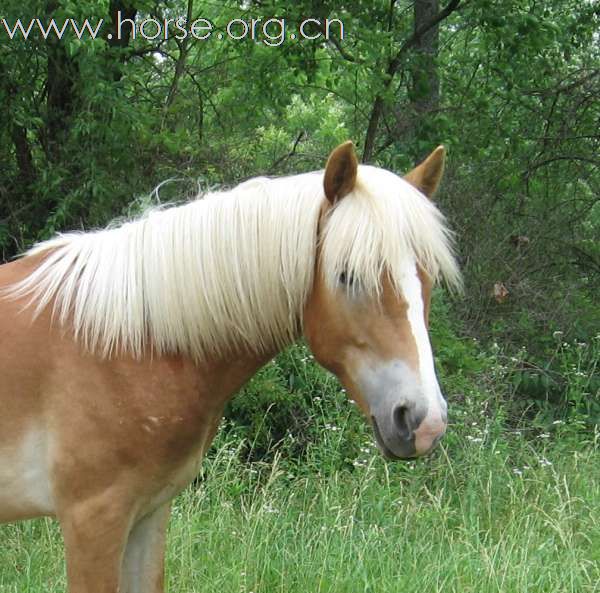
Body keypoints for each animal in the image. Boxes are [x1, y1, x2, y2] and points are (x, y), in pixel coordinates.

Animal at [0, 141, 462, 588]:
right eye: (348, 275)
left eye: (427, 278)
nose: (423, 420)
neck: (125, 345)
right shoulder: (94, 520)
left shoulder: (148, 513)